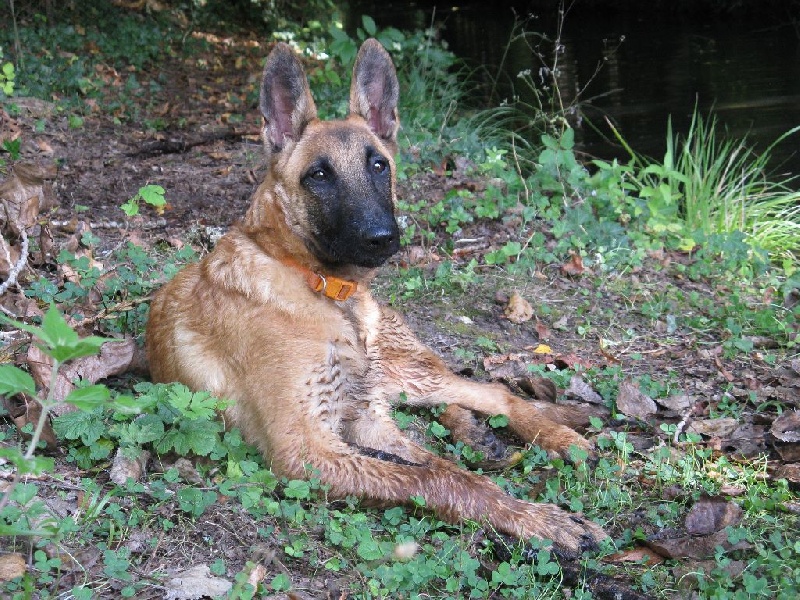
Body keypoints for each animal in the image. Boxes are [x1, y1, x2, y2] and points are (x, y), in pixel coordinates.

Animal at [145, 37, 608, 556]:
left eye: (379, 165)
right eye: (318, 175)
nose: (382, 237)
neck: (323, 288)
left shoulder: (365, 421)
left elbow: (443, 470)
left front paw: (535, 513)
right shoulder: (308, 445)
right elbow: (440, 477)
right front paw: (537, 518)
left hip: (403, 373)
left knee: (492, 393)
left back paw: (558, 435)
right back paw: (484, 434)